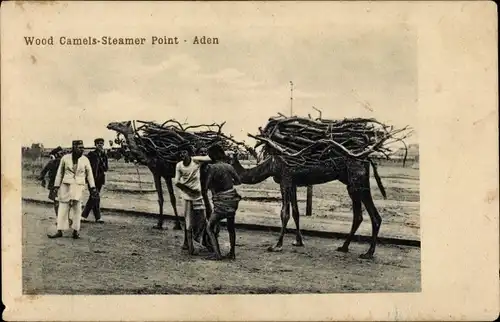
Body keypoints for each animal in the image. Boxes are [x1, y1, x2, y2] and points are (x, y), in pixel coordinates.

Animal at [229, 153, 386, 260]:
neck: (271, 165)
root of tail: (368, 158)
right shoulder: (293, 183)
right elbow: (296, 212)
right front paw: (298, 241)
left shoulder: (285, 179)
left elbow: (284, 213)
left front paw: (276, 246)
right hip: (351, 182)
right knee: (358, 215)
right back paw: (344, 247)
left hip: (358, 179)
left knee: (374, 216)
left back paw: (368, 253)